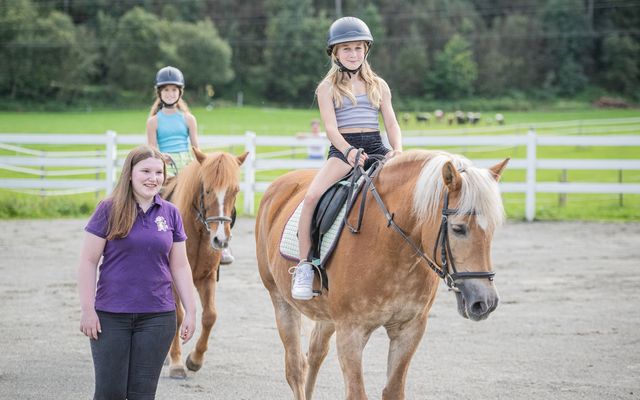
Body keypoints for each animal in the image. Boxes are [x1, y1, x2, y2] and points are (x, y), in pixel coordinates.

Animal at [165, 148, 248, 378]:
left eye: (235, 190)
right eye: (208, 190)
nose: (220, 240)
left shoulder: (207, 277)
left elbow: (210, 316)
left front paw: (195, 359)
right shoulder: (173, 280)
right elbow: (177, 317)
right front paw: (176, 362)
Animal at [255, 150, 510, 400]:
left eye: (492, 229)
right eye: (458, 229)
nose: (485, 302)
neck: (391, 246)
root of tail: (279, 183)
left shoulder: (409, 329)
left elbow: (393, 390)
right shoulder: (351, 331)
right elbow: (356, 393)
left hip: (326, 314)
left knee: (315, 352)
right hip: (281, 300)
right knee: (295, 368)